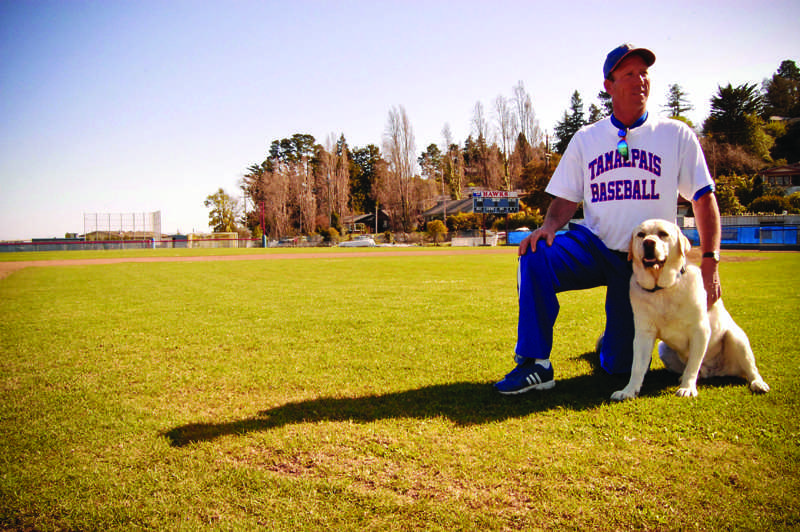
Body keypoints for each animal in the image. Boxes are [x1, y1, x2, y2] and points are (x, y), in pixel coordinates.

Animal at [612, 217, 768, 400]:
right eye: (641, 235)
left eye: (663, 234)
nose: (648, 242)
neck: (663, 289)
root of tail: (717, 371)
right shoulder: (644, 333)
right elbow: (637, 366)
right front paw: (628, 390)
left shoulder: (700, 330)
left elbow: (693, 365)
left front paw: (687, 388)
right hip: (664, 348)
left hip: (736, 338)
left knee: (751, 369)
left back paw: (758, 383)